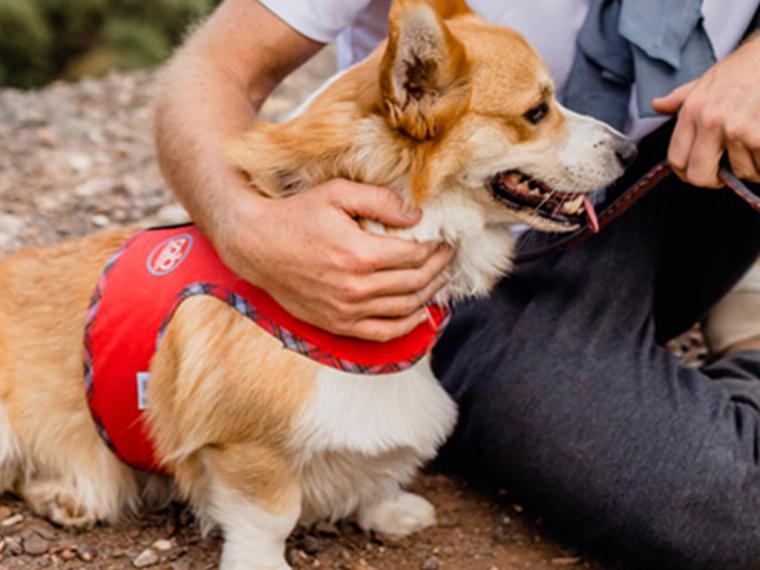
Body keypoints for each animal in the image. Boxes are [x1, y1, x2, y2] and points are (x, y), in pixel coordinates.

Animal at [0, 1, 632, 568]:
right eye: (537, 111)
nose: (629, 149)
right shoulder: (247, 444)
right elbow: (269, 516)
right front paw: (263, 563)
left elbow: (380, 470)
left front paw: (388, 509)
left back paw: (67, 495)